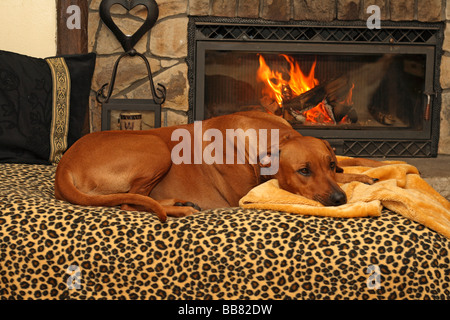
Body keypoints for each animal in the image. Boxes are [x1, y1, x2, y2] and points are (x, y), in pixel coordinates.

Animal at [55, 111, 380, 221]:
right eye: (304, 171)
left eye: (330, 164)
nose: (339, 199)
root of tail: (63, 166)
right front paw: (365, 177)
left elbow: (354, 161)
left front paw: (370, 169)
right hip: (157, 148)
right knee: (129, 203)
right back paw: (182, 209)